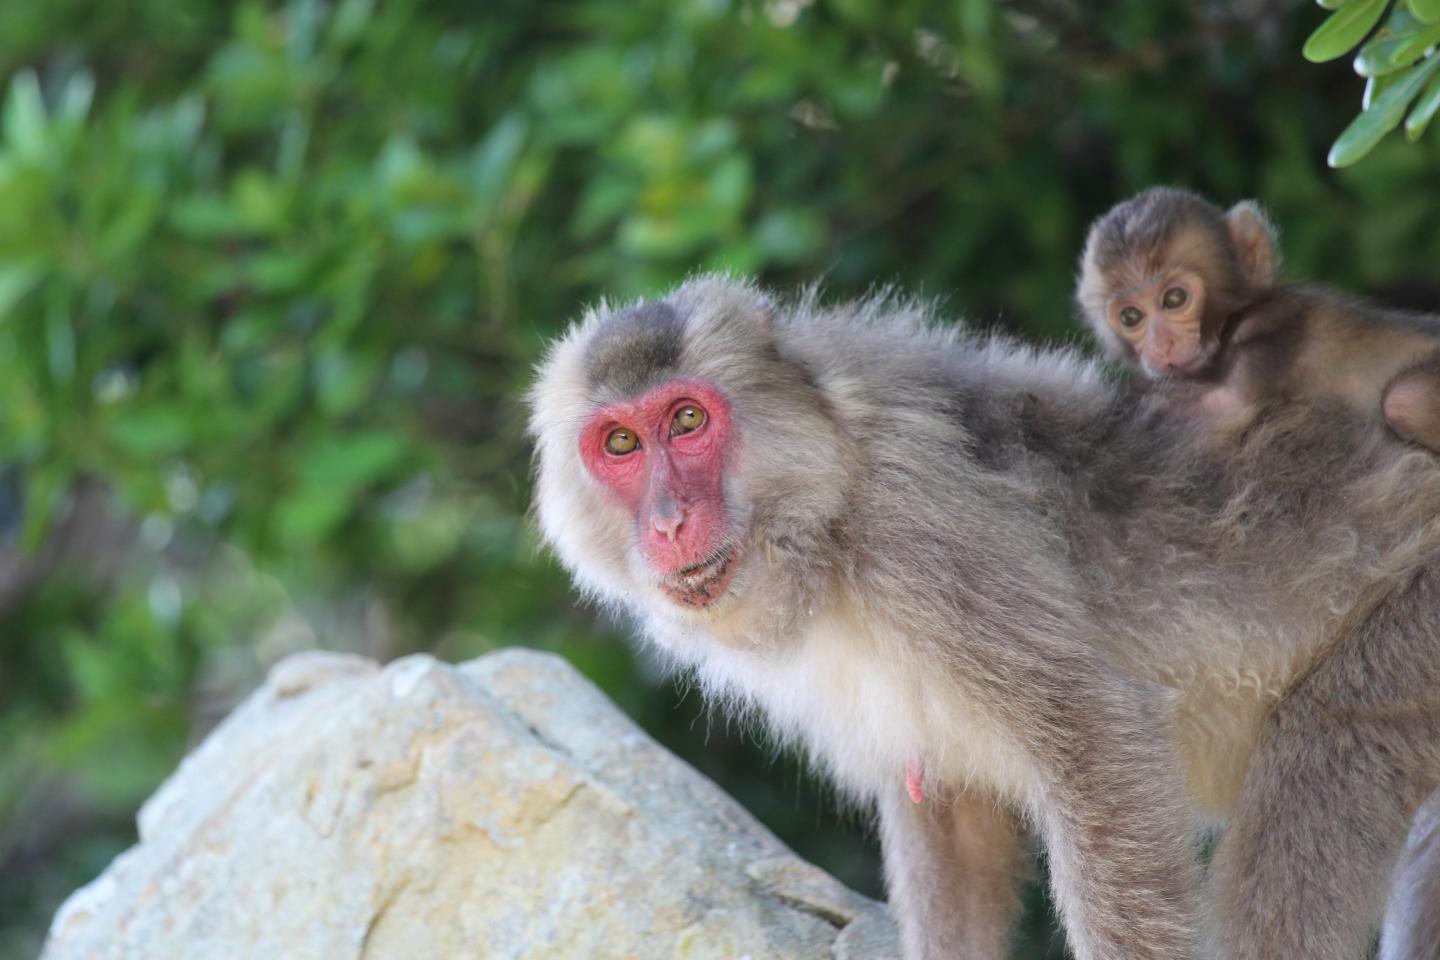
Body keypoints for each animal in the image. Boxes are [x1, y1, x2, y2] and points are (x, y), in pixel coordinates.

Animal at [529, 275, 1440, 960]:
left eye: (686, 420)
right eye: (619, 444)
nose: (669, 521)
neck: (823, 520)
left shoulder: (926, 538)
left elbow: (1099, 743)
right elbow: (949, 811)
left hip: (1416, 626)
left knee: (1326, 750)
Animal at [1076, 186, 1440, 451]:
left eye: (1174, 299)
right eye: (1131, 316)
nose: (1161, 344)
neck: (1229, 327)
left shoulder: (1271, 328)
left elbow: (1232, 405)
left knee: (1405, 400)